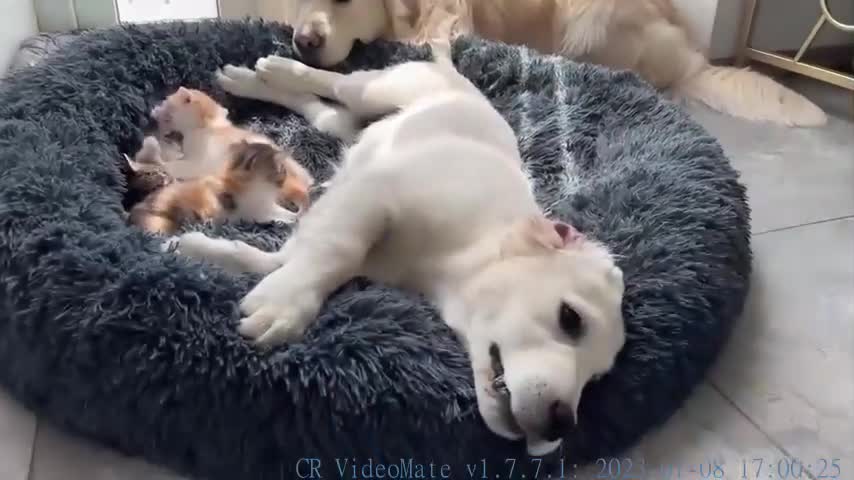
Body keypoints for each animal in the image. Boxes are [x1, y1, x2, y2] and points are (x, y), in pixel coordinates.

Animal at [171, 48, 628, 458]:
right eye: (570, 318)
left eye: (596, 379)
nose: (561, 424)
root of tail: (457, 77)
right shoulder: (373, 196)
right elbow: (336, 251)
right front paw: (283, 306)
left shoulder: (340, 223)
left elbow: (285, 258)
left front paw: (200, 250)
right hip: (380, 90)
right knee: (332, 83)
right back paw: (268, 70)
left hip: (350, 125)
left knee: (324, 112)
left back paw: (252, 80)